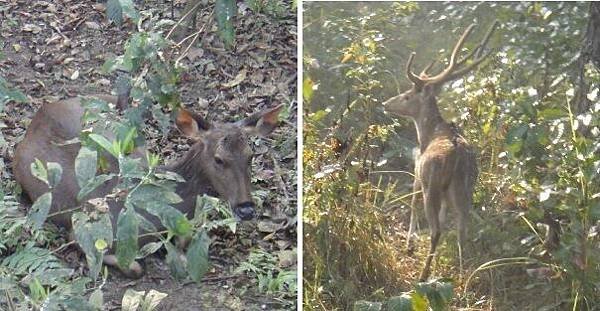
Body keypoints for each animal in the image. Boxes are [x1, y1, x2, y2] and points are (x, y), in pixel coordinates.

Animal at [12, 95, 284, 278]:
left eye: (251, 156)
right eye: (218, 159)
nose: (246, 208)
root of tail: (42, 110)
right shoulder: (83, 230)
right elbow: (134, 267)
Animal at [382, 22, 500, 280]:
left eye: (407, 96)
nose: (386, 103)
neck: (428, 134)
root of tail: (457, 158)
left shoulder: (418, 174)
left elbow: (412, 204)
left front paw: (409, 245)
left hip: (432, 184)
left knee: (436, 228)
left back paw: (423, 274)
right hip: (463, 188)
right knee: (462, 227)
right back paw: (463, 271)